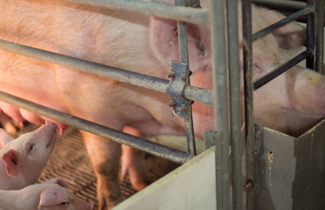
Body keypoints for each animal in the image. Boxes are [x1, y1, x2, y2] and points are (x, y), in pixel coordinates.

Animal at [0, 0, 324, 208]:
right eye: (251, 67)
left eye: (281, 55)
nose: (320, 85)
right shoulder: (88, 108)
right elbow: (105, 162)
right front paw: (113, 202)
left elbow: (135, 143)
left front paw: (141, 182)